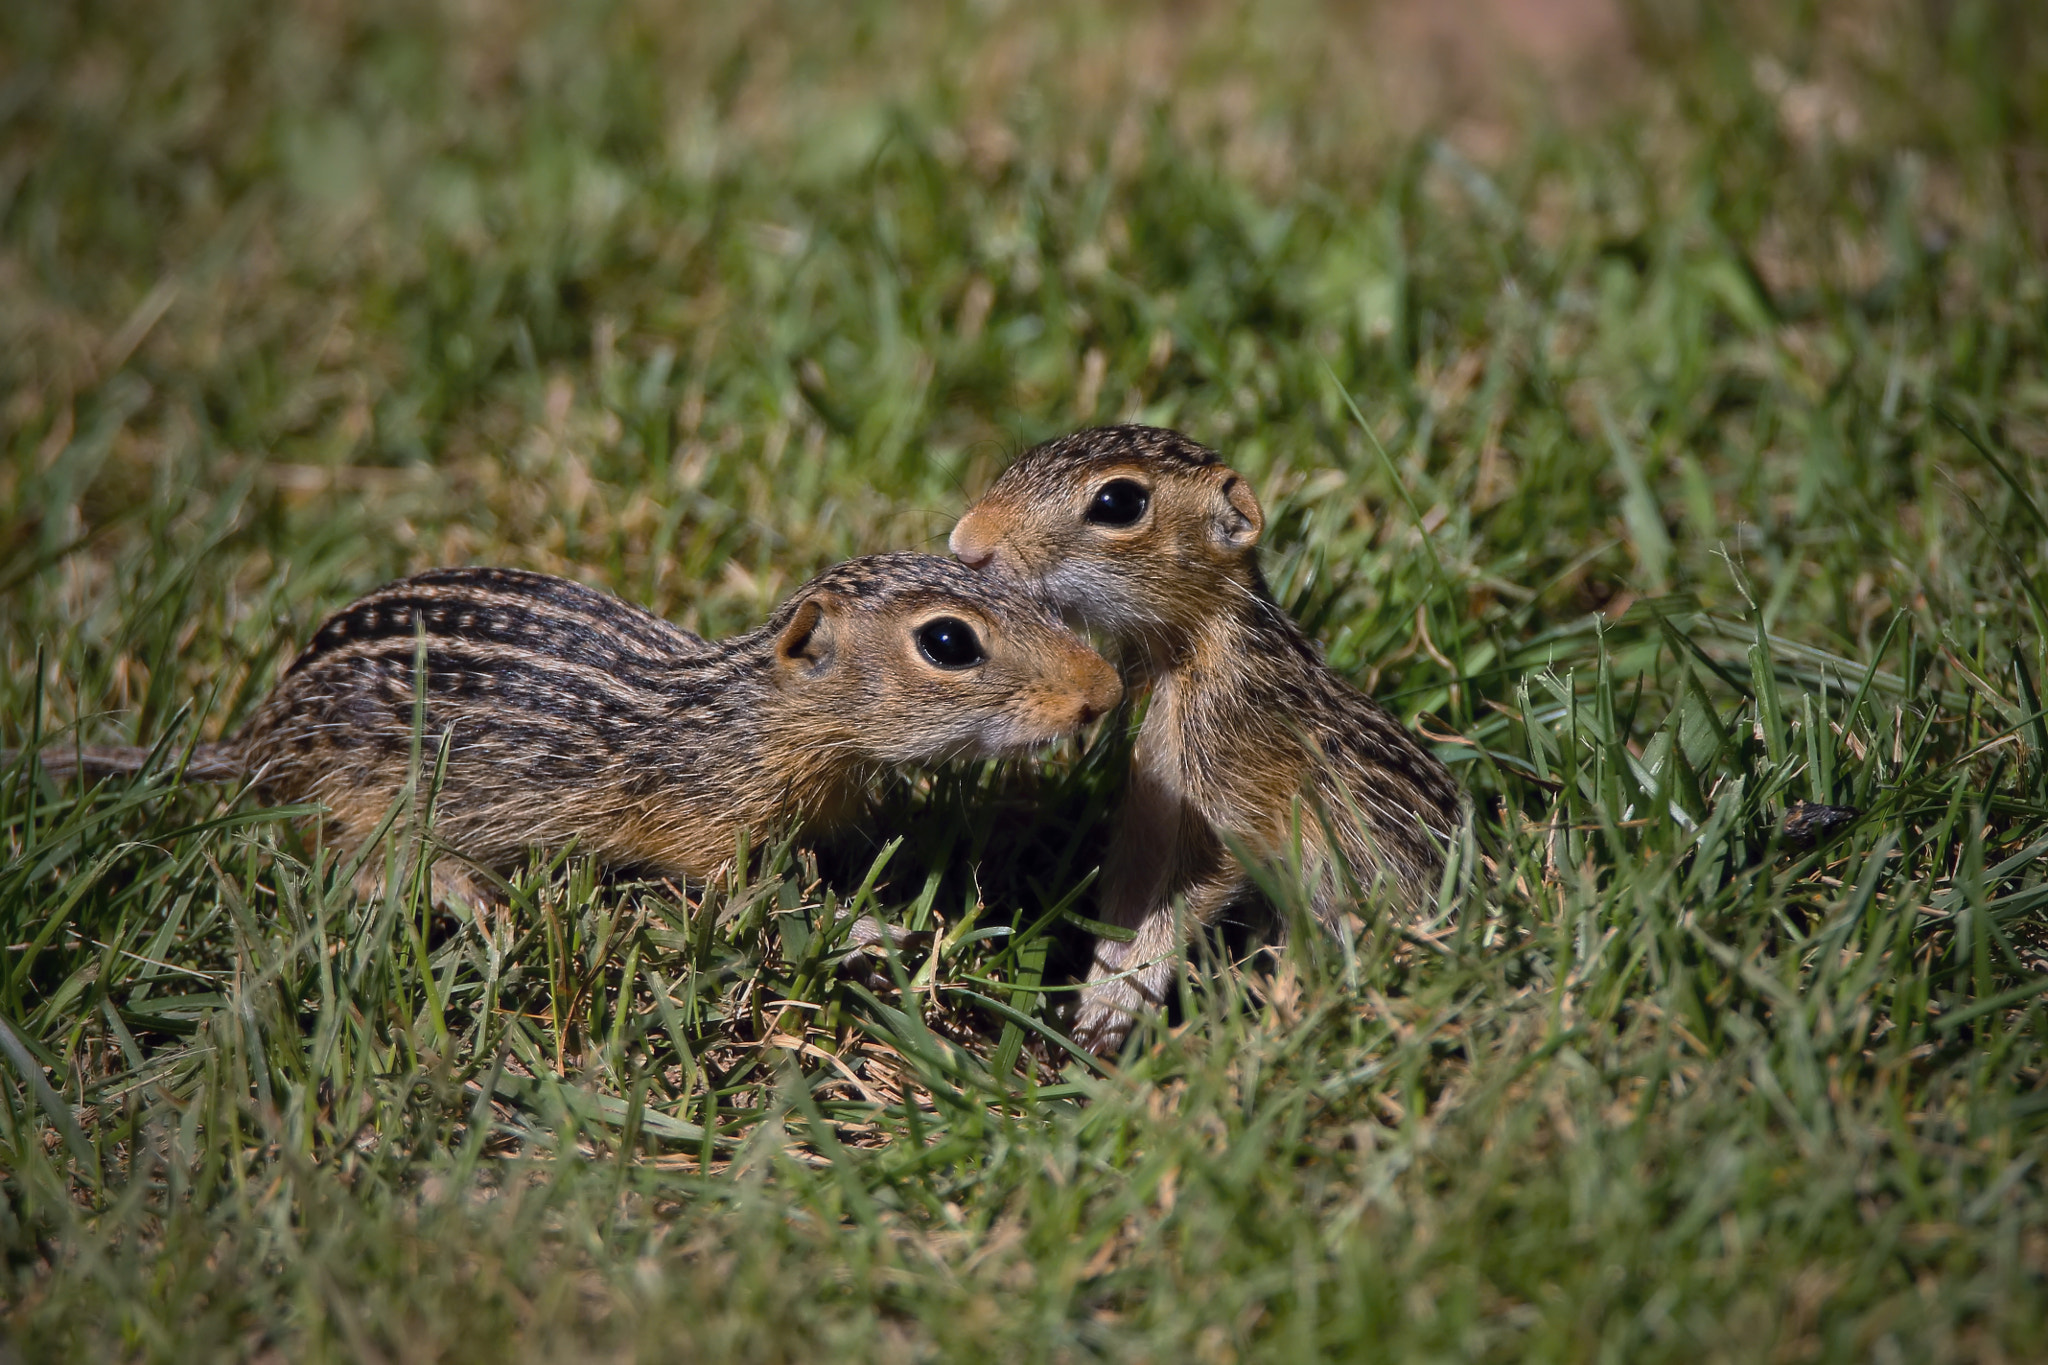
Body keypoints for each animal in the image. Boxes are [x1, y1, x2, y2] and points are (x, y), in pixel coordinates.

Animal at [18, 554, 1122, 911]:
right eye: (948, 641)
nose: (1103, 692)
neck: (745, 715)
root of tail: (260, 734)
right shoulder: (706, 832)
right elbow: (755, 897)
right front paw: (865, 930)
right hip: (364, 794)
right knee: (353, 861)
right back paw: (474, 899)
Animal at [950, 425, 1465, 1054]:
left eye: (1118, 503)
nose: (967, 544)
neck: (1186, 657)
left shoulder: (1238, 805)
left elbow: (1183, 903)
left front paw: (1109, 1010)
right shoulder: (1149, 813)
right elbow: (1129, 899)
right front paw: (1098, 995)